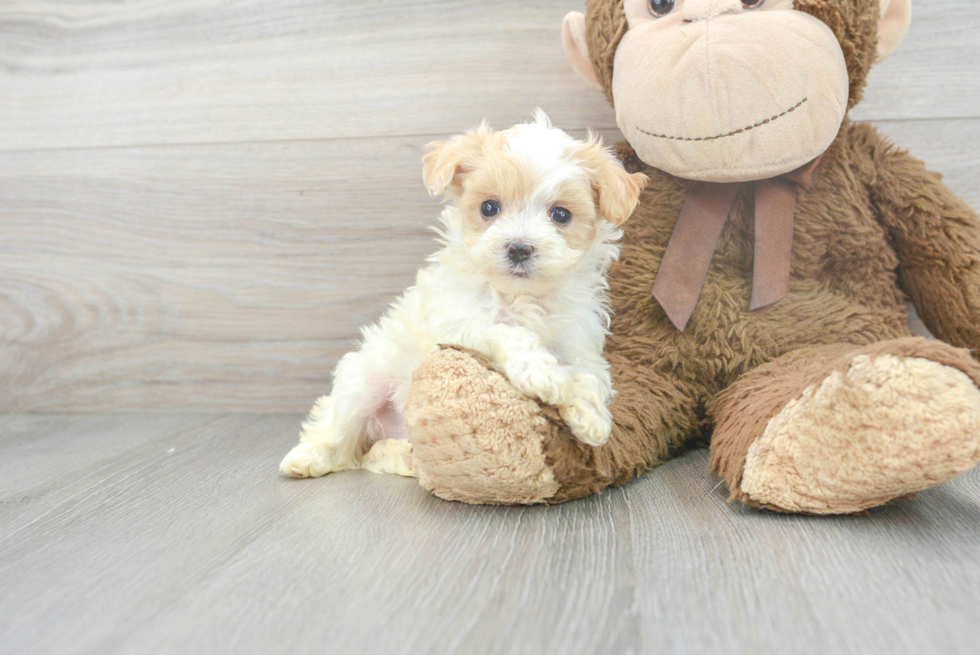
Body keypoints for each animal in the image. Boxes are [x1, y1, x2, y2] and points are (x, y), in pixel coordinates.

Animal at [280, 113, 648, 480]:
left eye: (561, 214)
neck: (520, 296)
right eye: (489, 207)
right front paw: (542, 374)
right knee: (336, 431)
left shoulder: (578, 343)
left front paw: (591, 417)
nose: (519, 248)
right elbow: (506, 332)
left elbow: (588, 375)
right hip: (364, 381)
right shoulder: (458, 324)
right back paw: (307, 459)